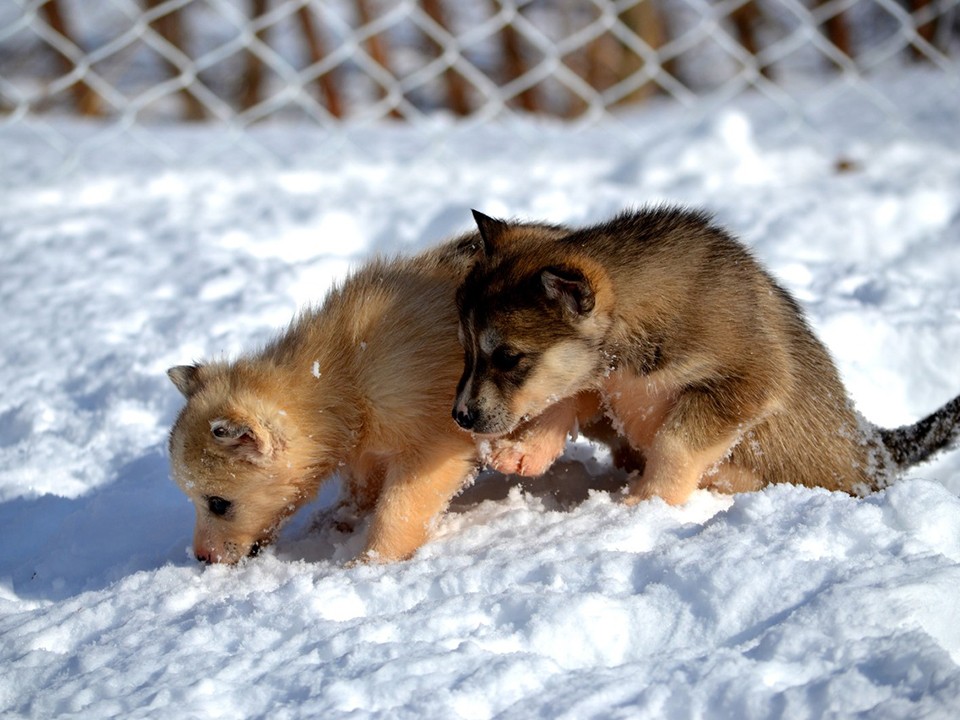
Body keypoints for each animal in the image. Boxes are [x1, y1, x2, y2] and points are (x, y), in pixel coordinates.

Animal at [454, 205, 960, 504]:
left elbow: (674, 441)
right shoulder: (601, 380)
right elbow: (560, 400)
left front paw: (647, 500)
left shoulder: (748, 381)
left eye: (509, 357)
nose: (459, 417)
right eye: (467, 347)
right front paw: (522, 452)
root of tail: (876, 444)